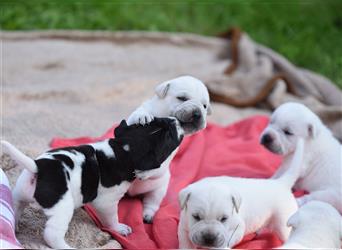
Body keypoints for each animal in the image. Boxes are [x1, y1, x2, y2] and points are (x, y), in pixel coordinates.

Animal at [0, 118, 184, 249]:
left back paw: (15, 227)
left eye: (153, 121)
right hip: (62, 209)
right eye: (169, 137)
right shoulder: (107, 203)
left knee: (16, 208)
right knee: (52, 235)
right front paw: (119, 228)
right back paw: (66, 247)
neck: (121, 150)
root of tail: (37, 167)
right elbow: (111, 218)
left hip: (19, 195)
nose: (176, 120)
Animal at [126, 75, 211, 223]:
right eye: (182, 98)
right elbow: (138, 114)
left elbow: (160, 163)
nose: (197, 113)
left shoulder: (169, 153)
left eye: (204, 106)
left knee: (151, 202)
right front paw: (142, 116)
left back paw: (147, 215)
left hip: (159, 190)